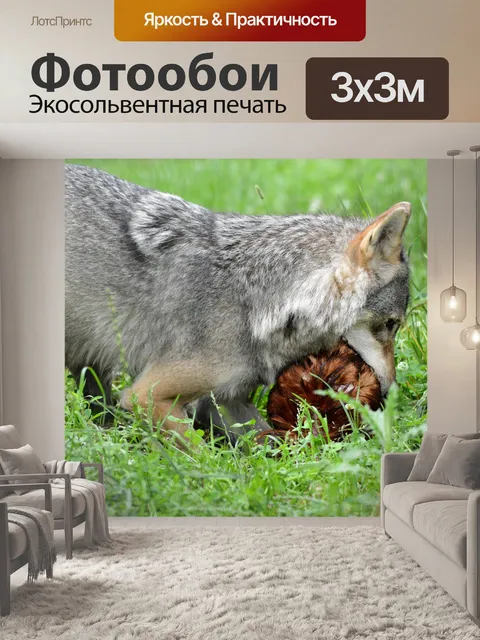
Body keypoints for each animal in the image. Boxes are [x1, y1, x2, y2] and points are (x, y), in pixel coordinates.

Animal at [65, 163, 411, 439]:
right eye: (390, 325)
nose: (391, 393)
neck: (253, 300)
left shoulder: (228, 401)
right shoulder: (145, 395)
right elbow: (203, 456)